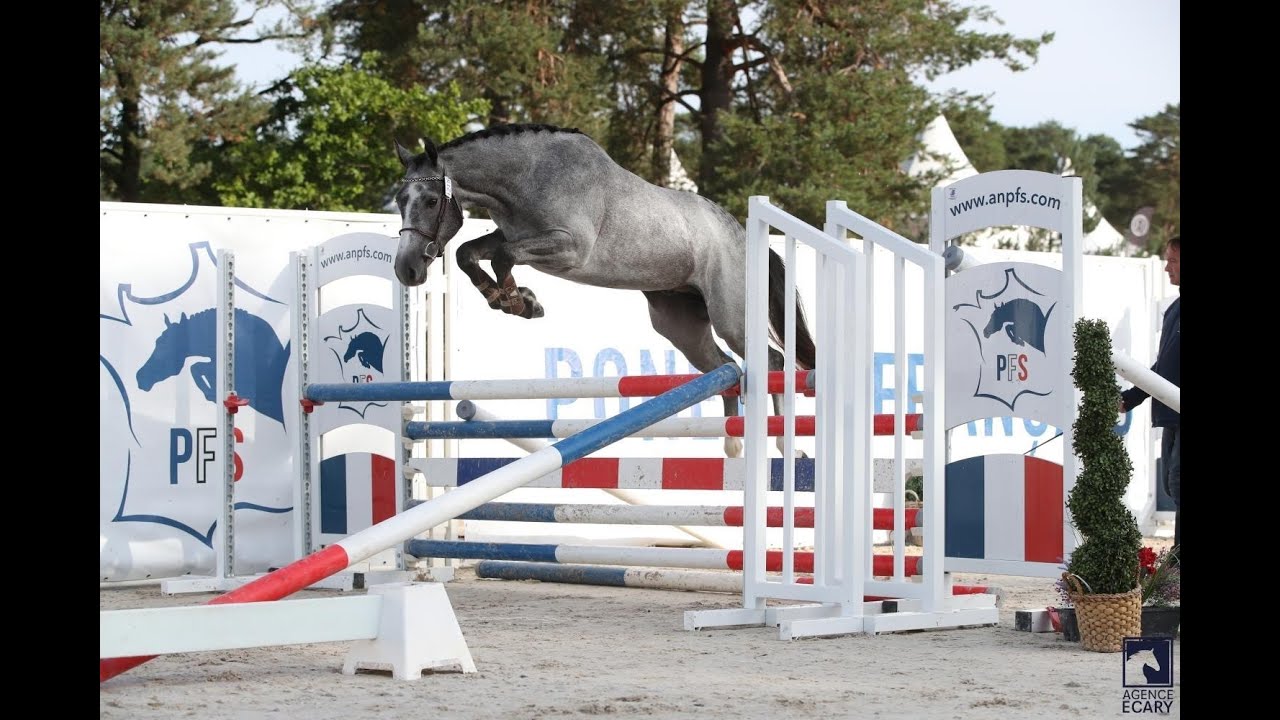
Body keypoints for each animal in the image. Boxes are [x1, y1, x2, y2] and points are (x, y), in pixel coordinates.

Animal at [391, 123, 816, 458]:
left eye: (431, 200)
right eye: (399, 200)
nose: (407, 270)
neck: (527, 179)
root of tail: (744, 238)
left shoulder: (567, 249)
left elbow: (502, 257)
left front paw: (519, 301)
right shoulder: (510, 235)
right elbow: (468, 253)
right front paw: (512, 299)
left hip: (732, 315)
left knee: (771, 359)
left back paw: (784, 445)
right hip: (679, 325)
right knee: (724, 366)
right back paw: (733, 443)